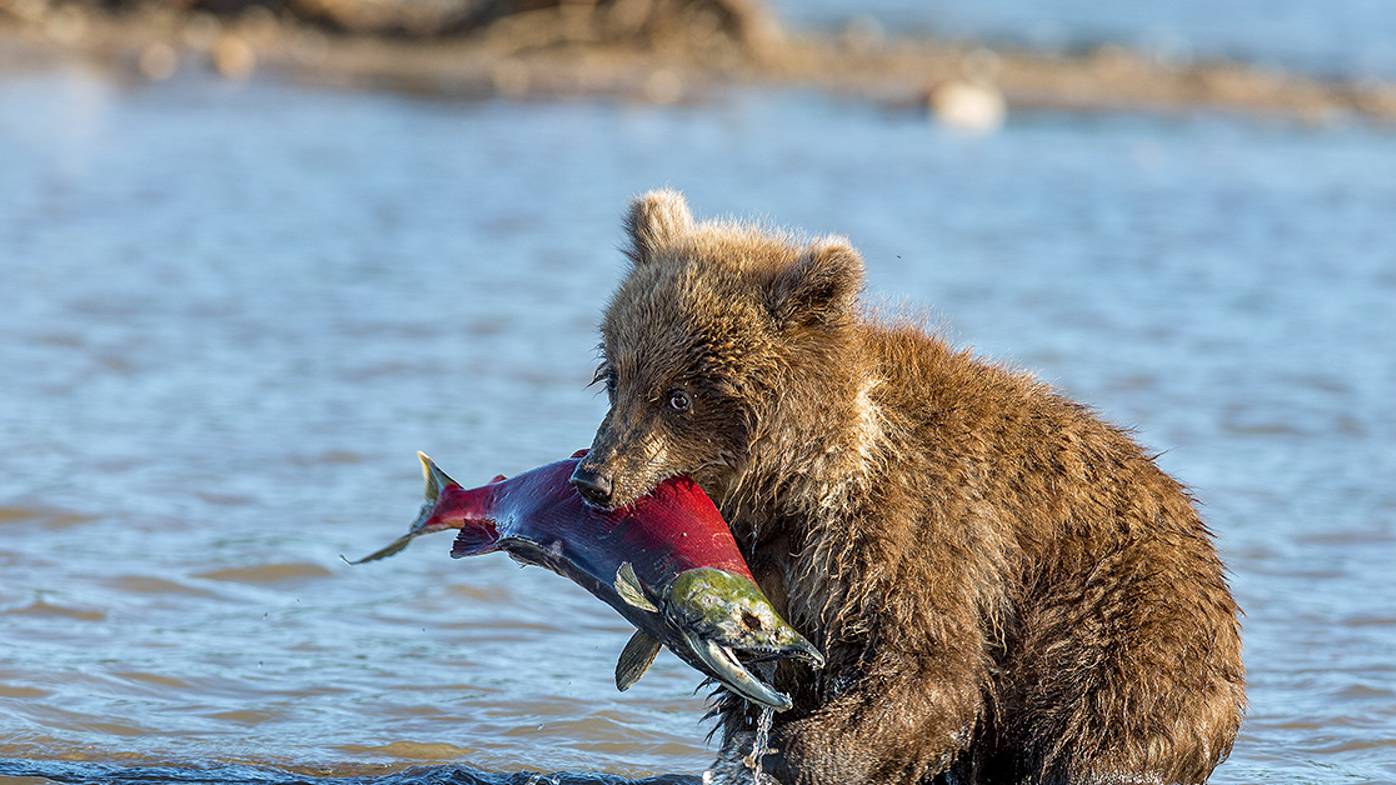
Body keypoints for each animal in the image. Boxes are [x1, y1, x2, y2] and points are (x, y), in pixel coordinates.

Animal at [566, 191, 1245, 782]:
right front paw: (760, 735)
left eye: (678, 396)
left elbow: (929, 670)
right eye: (616, 376)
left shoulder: (910, 531)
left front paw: (792, 750)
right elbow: (770, 678)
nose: (593, 478)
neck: (803, 480)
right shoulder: (778, 571)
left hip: (1116, 623)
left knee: (1100, 731)